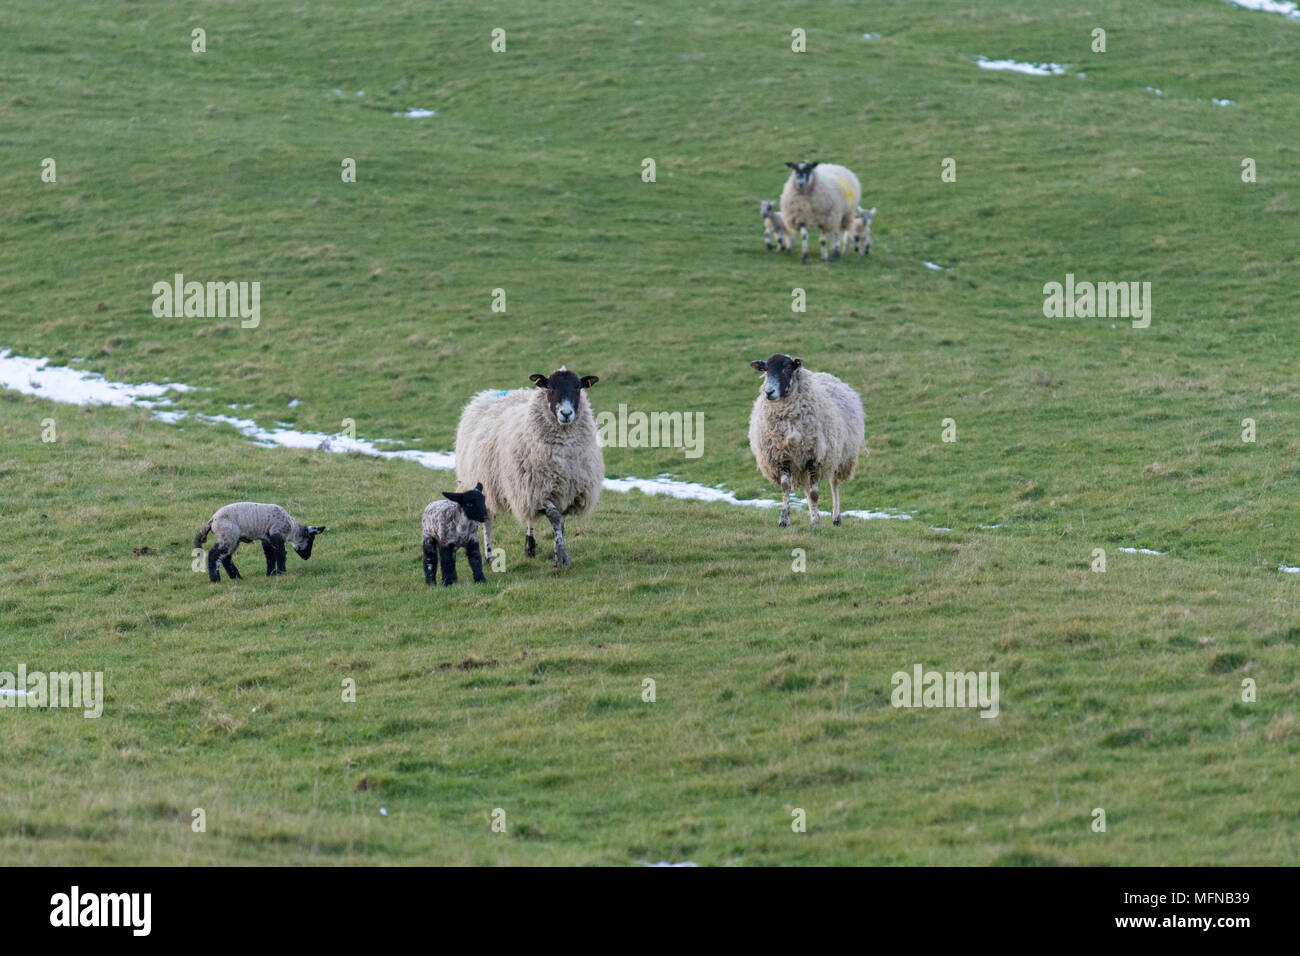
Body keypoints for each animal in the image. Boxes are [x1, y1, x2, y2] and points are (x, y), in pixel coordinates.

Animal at [192, 502, 325, 582]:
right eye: (311, 540)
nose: (307, 557)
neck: (291, 528)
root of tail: (212, 520)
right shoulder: (276, 534)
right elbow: (281, 554)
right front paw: (281, 572)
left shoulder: (267, 540)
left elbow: (270, 557)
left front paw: (270, 573)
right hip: (227, 536)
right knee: (214, 555)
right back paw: (215, 580)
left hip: (233, 540)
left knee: (226, 558)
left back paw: (236, 577)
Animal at [452, 369, 603, 567]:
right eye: (550, 387)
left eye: (578, 387)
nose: (566, 413)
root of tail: (486, 394)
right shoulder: (540, 491)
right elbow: (554, 517)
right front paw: (562, 559)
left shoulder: (564, 491)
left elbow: (561, 522)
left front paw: (558, 555)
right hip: (483, 483)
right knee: (487, 521)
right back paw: (489, 556)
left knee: (529, 517)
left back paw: (529, 546)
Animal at [748, 356, 868, 528]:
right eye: (766, 370)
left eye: (787, 368)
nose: (769, 392)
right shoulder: (782, 456)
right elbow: (786, 488)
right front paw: (784, 520)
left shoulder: (814, 457)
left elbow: (814, 493)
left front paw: (817, 522)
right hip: (801, 465)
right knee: (807, 489)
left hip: (839, 457)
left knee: (834, 484)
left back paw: (836, 518)